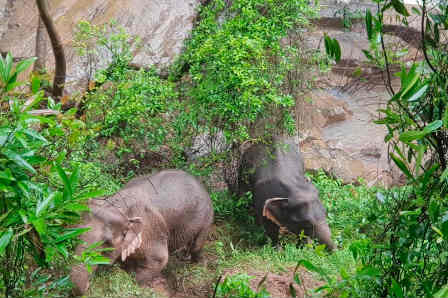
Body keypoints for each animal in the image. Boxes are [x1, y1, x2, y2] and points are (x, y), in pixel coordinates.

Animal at [71, 169, 214, 296]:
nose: (89, 285)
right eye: (77, 233)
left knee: (197, 245)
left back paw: (196, 265)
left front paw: (140, 285)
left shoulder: (151, 231)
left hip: (207, 218)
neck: (118, 205)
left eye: (106, 243)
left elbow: (160, 259)